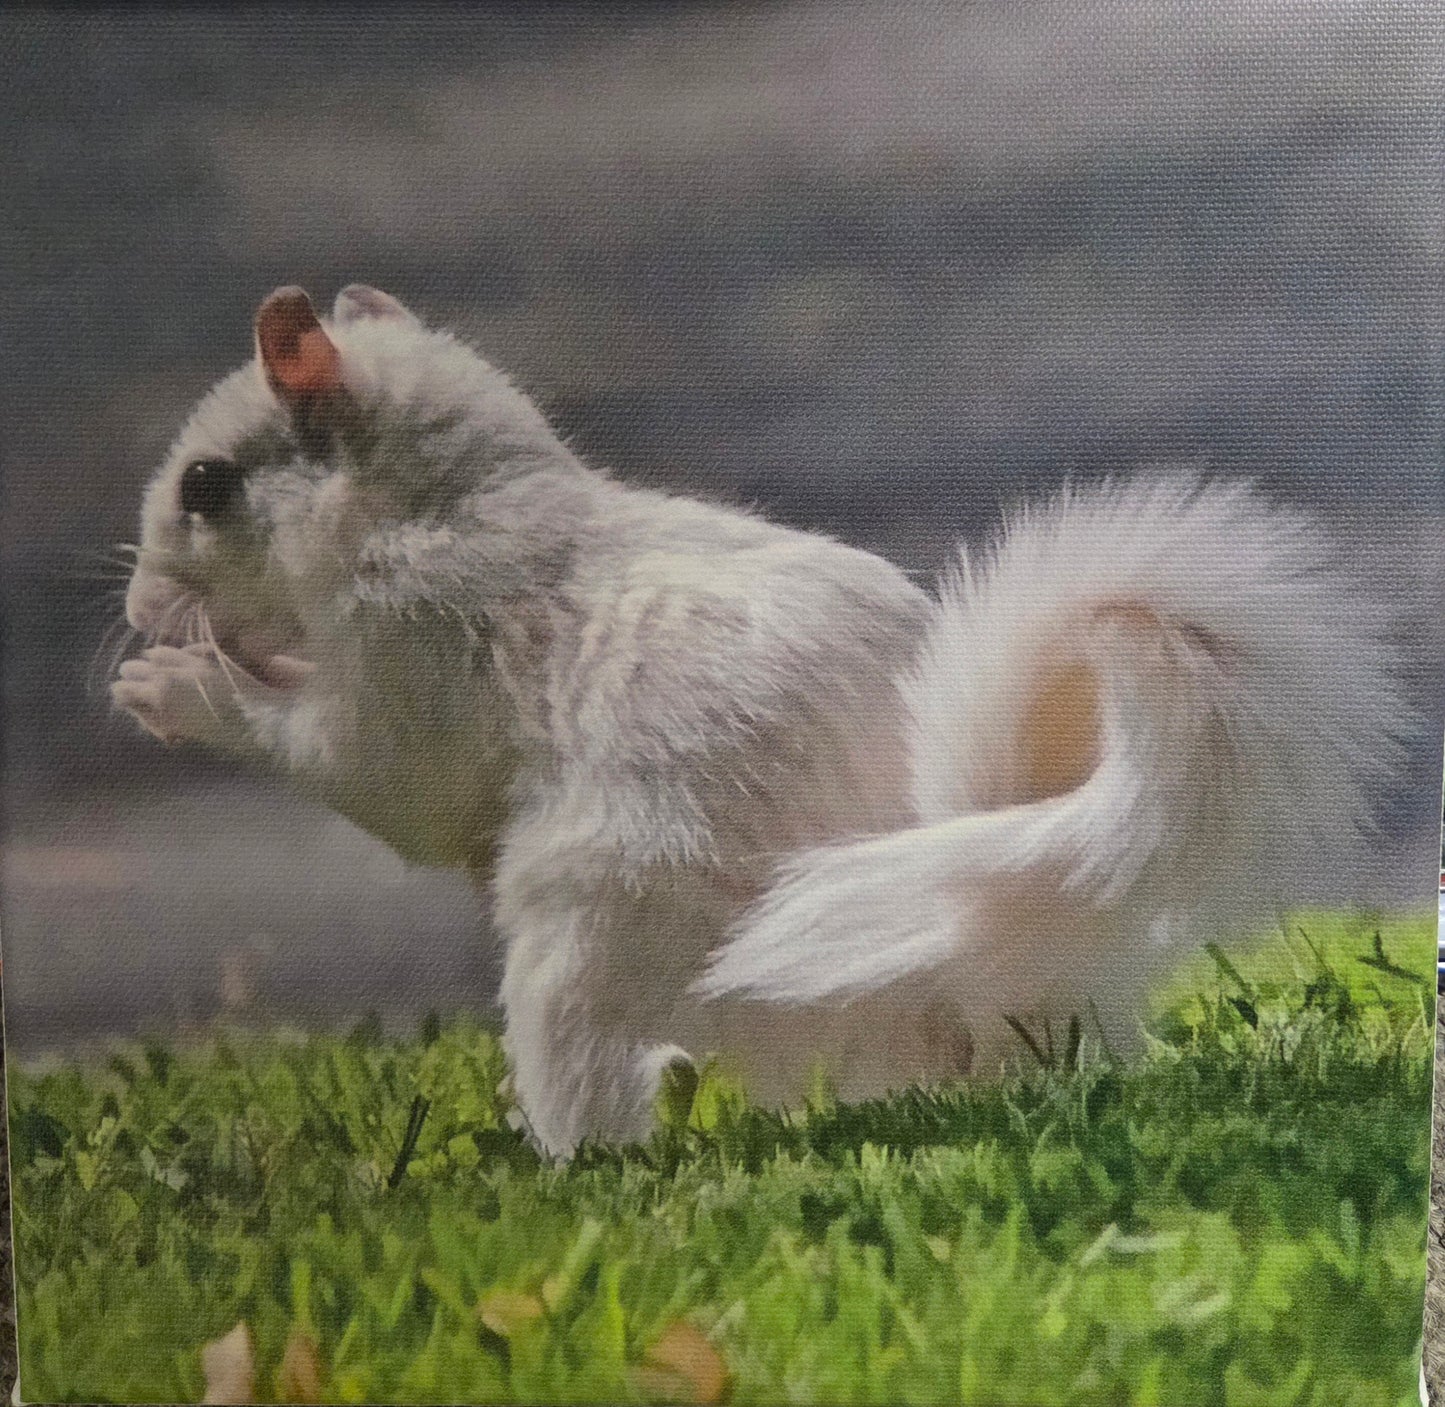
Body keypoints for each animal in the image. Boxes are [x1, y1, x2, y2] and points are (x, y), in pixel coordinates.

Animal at [112, 284, 1411, 1156]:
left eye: (207, 486)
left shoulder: (414, 650)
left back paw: (568, 1158)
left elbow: (373, 779)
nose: (134, 608)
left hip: (592, 946)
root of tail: (984, 970)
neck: (446, 506)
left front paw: (179, 687)